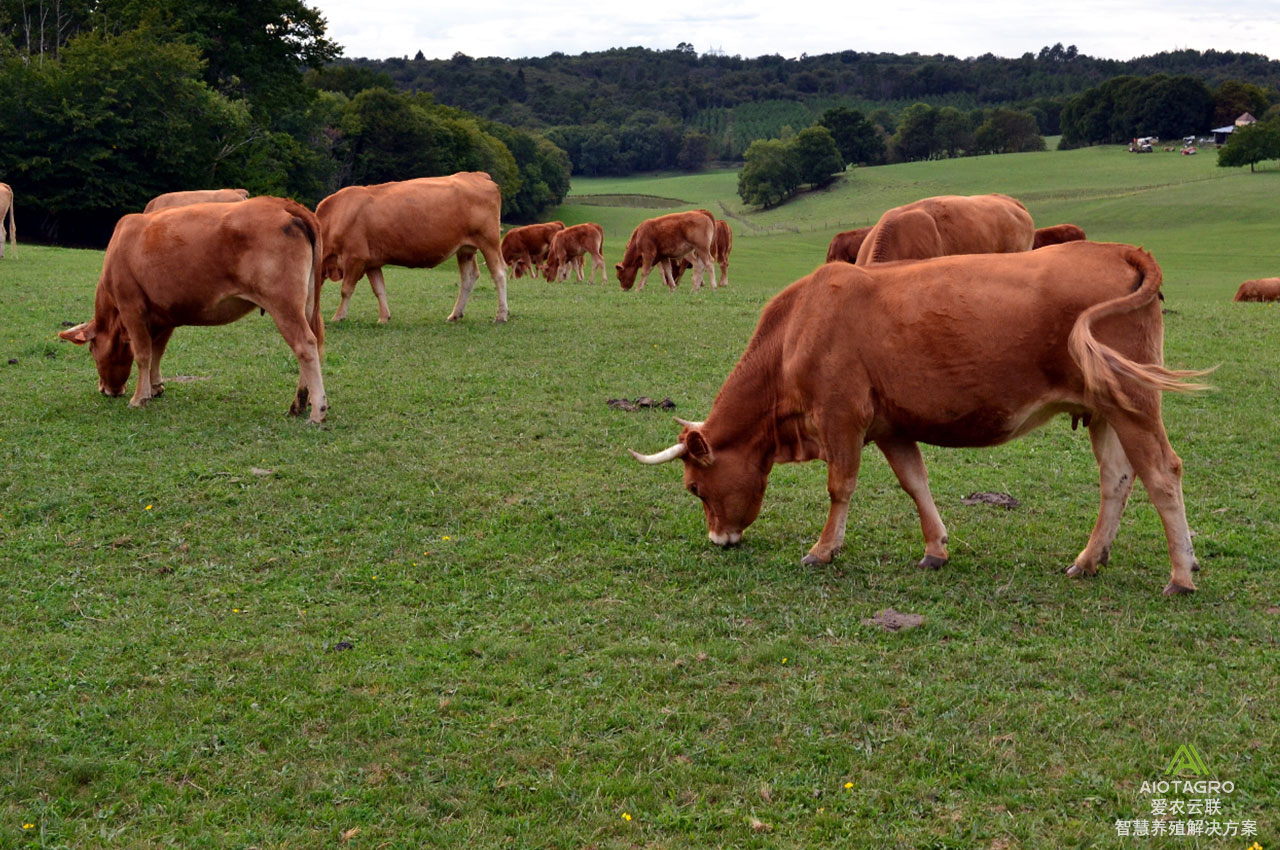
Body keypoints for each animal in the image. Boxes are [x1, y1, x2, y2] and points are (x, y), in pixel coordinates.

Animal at [61, 194, 330, 422]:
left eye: (91, 350)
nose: (105, 390)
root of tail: (282, 203)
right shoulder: (164, 314)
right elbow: (158, 350)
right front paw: (155, 387)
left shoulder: (131, 307)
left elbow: (143, 353)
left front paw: (139, 397)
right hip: (307, 305)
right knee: (315, 343)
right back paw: (300, 402)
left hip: (284, 305)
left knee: (305, 345)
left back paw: (316, 410)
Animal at [316, 171, 509, 323]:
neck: (336, 216)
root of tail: (477, 175)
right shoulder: (371, 262)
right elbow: (379, 289)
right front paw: (384, 317)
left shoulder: (355, 258)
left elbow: (346, 289)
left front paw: (338, 316)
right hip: (466, 249)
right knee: (469, 277)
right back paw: (455, 314)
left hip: (489, 242)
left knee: (499, 273)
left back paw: (501, 315)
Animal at [632, 241, 1208, 593]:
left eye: (694, 488)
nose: (718, 541)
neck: (798, 328)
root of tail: (1117, 248)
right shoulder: (891, 426)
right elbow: (915, 483)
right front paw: (935, 549)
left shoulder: (841, 417)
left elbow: (839, 487)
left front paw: (824, 549)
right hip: (1104, 410)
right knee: (1117, 480)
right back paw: (1090, 559)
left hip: (1134, 402)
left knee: (1163, 474)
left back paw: (1181, 573)